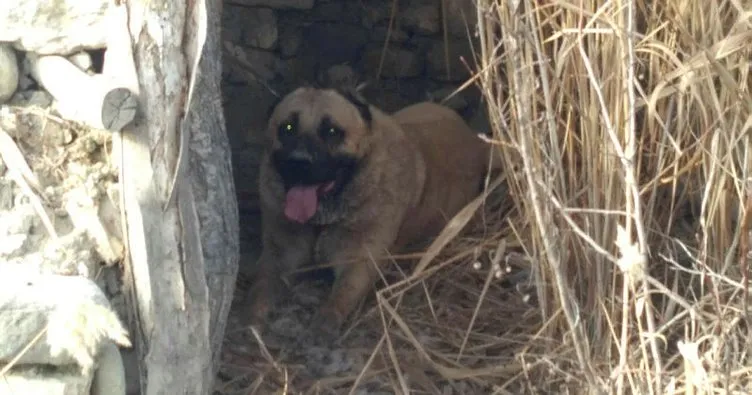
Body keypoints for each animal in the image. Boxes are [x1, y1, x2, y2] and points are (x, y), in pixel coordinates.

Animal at [244, 86, 496, 340]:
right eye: (287, 127)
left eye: (332, 131)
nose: (299, 162)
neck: (321, 223)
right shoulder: (278, 257)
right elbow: (261, 288)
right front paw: (254, 317)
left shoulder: (359, 264)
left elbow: (339, 297)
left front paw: (322, 324)